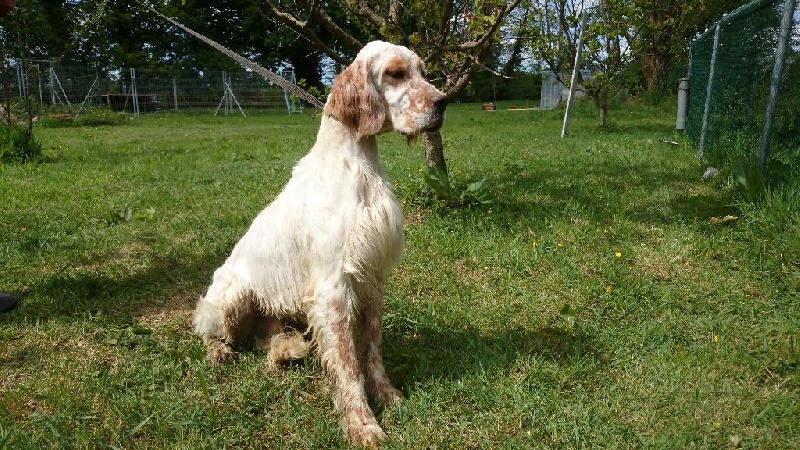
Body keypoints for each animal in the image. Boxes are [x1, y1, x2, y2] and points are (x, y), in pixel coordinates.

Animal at [191, 41, 446, 446]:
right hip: (233, 294)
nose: (444, 102)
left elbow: (371, 349)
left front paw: (386, 393)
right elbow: (348, 363)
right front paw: (362, 424)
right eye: (395, 73)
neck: (358, 165)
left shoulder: (371, 277)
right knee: (209, 328)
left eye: (422, 71)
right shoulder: (332, 289)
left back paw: (286, 350)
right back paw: (220, 352)